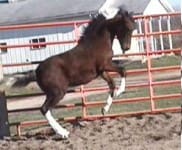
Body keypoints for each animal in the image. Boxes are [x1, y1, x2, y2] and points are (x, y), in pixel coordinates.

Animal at [13, 8, 135, 138]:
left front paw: (104, 109)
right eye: (127, 27)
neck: (98, 42)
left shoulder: (101, 71)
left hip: (52, 93)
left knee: (46, 109)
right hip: (57, 92)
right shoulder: (105, 65)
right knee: (44, 109)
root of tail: (36, 72)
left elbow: (112, 84)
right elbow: (123, 70)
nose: (126, 48)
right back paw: (63, 133)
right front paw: (120, 92)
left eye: (133, 28)